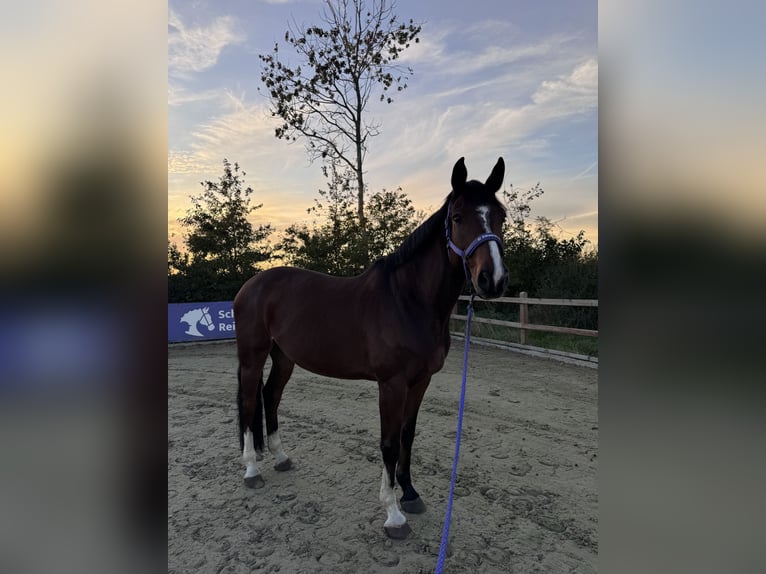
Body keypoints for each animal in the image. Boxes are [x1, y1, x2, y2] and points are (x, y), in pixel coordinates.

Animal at [234, 157, 508, 539]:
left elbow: (407, 434)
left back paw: (281, 458)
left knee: (270, 396)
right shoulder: (391, 384)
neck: (408, 301)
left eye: (501, 217)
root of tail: (250, 285)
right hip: (252, 356)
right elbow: (389, 442)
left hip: (284, 358)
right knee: (249, 403)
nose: (492, 280)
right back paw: (251, 470)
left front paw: (410, 494)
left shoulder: (421, 381)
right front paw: (393, 514)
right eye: (457, 217)